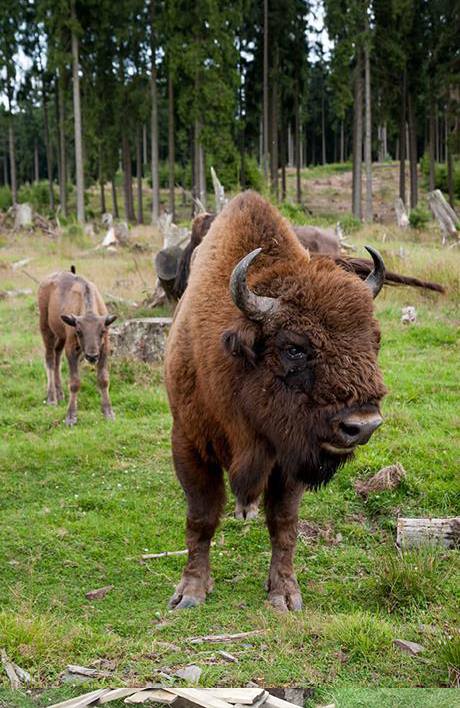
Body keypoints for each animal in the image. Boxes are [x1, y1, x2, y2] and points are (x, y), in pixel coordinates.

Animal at [38, 268, 117, 426]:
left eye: (103, 331)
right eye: (79, 331)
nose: (92, 356)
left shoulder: (104, 349)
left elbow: (103, 379)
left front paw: (108, 413)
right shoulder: (72, 349)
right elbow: (74, 382)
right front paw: (71, 417)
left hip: (60, 336)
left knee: (56, 357)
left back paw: (60, 394)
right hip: (46, 328)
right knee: (49, 359)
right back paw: (52, 398)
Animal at [164, 191, 386, 612]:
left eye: (374, 340)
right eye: (294, 347)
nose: (362, 425)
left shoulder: (291, 456)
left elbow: (283, 523)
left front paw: (284, 593)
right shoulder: (188, 442)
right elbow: (200, 517)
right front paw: (190, 592)